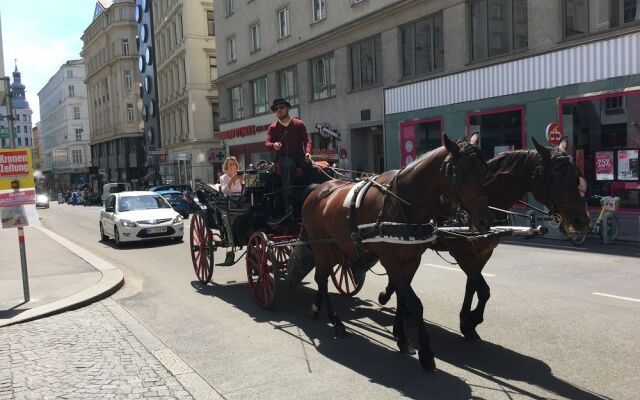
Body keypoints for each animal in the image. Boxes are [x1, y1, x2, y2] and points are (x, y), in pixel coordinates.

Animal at [300, 135, 490, 372]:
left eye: (485, 169)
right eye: (458, 172)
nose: (484, 221)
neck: (402, 201)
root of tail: (317, 190)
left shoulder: (411, 259)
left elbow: (402, 297)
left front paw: (401, 337)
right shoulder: (390, 258)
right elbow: (414, 303)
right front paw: (426, 352)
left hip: (336, 247)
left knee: (323, 277)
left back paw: (318, 309)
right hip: (321, 247)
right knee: (322, 279)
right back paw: (336, 322)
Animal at [378, 138, 592, 344]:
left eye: (576, 176)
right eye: (552, 178)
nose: (582, 220)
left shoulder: (483, 253)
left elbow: (473, 286)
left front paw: (466, 321)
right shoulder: (462, 253)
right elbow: (483, 289)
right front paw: (471, 320)